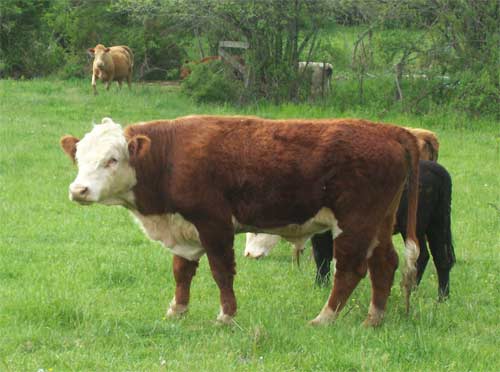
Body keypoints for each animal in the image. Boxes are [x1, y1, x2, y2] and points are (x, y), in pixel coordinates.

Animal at [61, 115, 422, 326]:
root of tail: (390, 130)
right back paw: (374, 318)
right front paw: (178, 310)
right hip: (379, 223)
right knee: (384, 264)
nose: (78, 190)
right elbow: (181, 271)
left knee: (349, 270)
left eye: (112, 159)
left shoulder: (214, 224)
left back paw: (324, 318)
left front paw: (226, 315)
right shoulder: (183, 228)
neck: (170, 157)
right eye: (78, 157)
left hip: (355, 223)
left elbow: (221, 272)